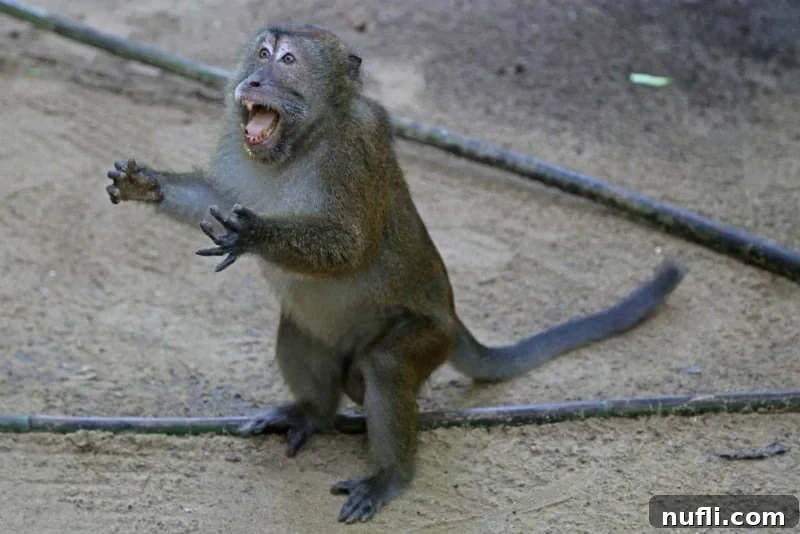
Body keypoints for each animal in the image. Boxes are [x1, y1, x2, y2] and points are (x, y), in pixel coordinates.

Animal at [104, 24, 686, 523]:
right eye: (261, 53)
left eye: (287, 61)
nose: (254, 81)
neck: (300, 144)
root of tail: (452, 315)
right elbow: (215, 200)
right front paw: (147, 185)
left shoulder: (357, 150)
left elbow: (350, 247)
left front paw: (257, 236)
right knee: (298, 331)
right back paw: (312, 414)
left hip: (427, 337)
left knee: (384, 366)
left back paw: (391, 475)